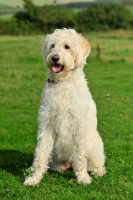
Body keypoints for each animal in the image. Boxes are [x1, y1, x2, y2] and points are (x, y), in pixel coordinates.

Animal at [23, 28, 105, 186]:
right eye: (52, 46)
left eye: (67, 46)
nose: (54, 58)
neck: (62, 82)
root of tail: (69, 165)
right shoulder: (47, 125)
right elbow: (41, 154)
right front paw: (34, 178)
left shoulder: (79, 126)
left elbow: (80, 155)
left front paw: (83, 178)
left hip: (94, 145)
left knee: (95, 164)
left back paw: (96, 171)